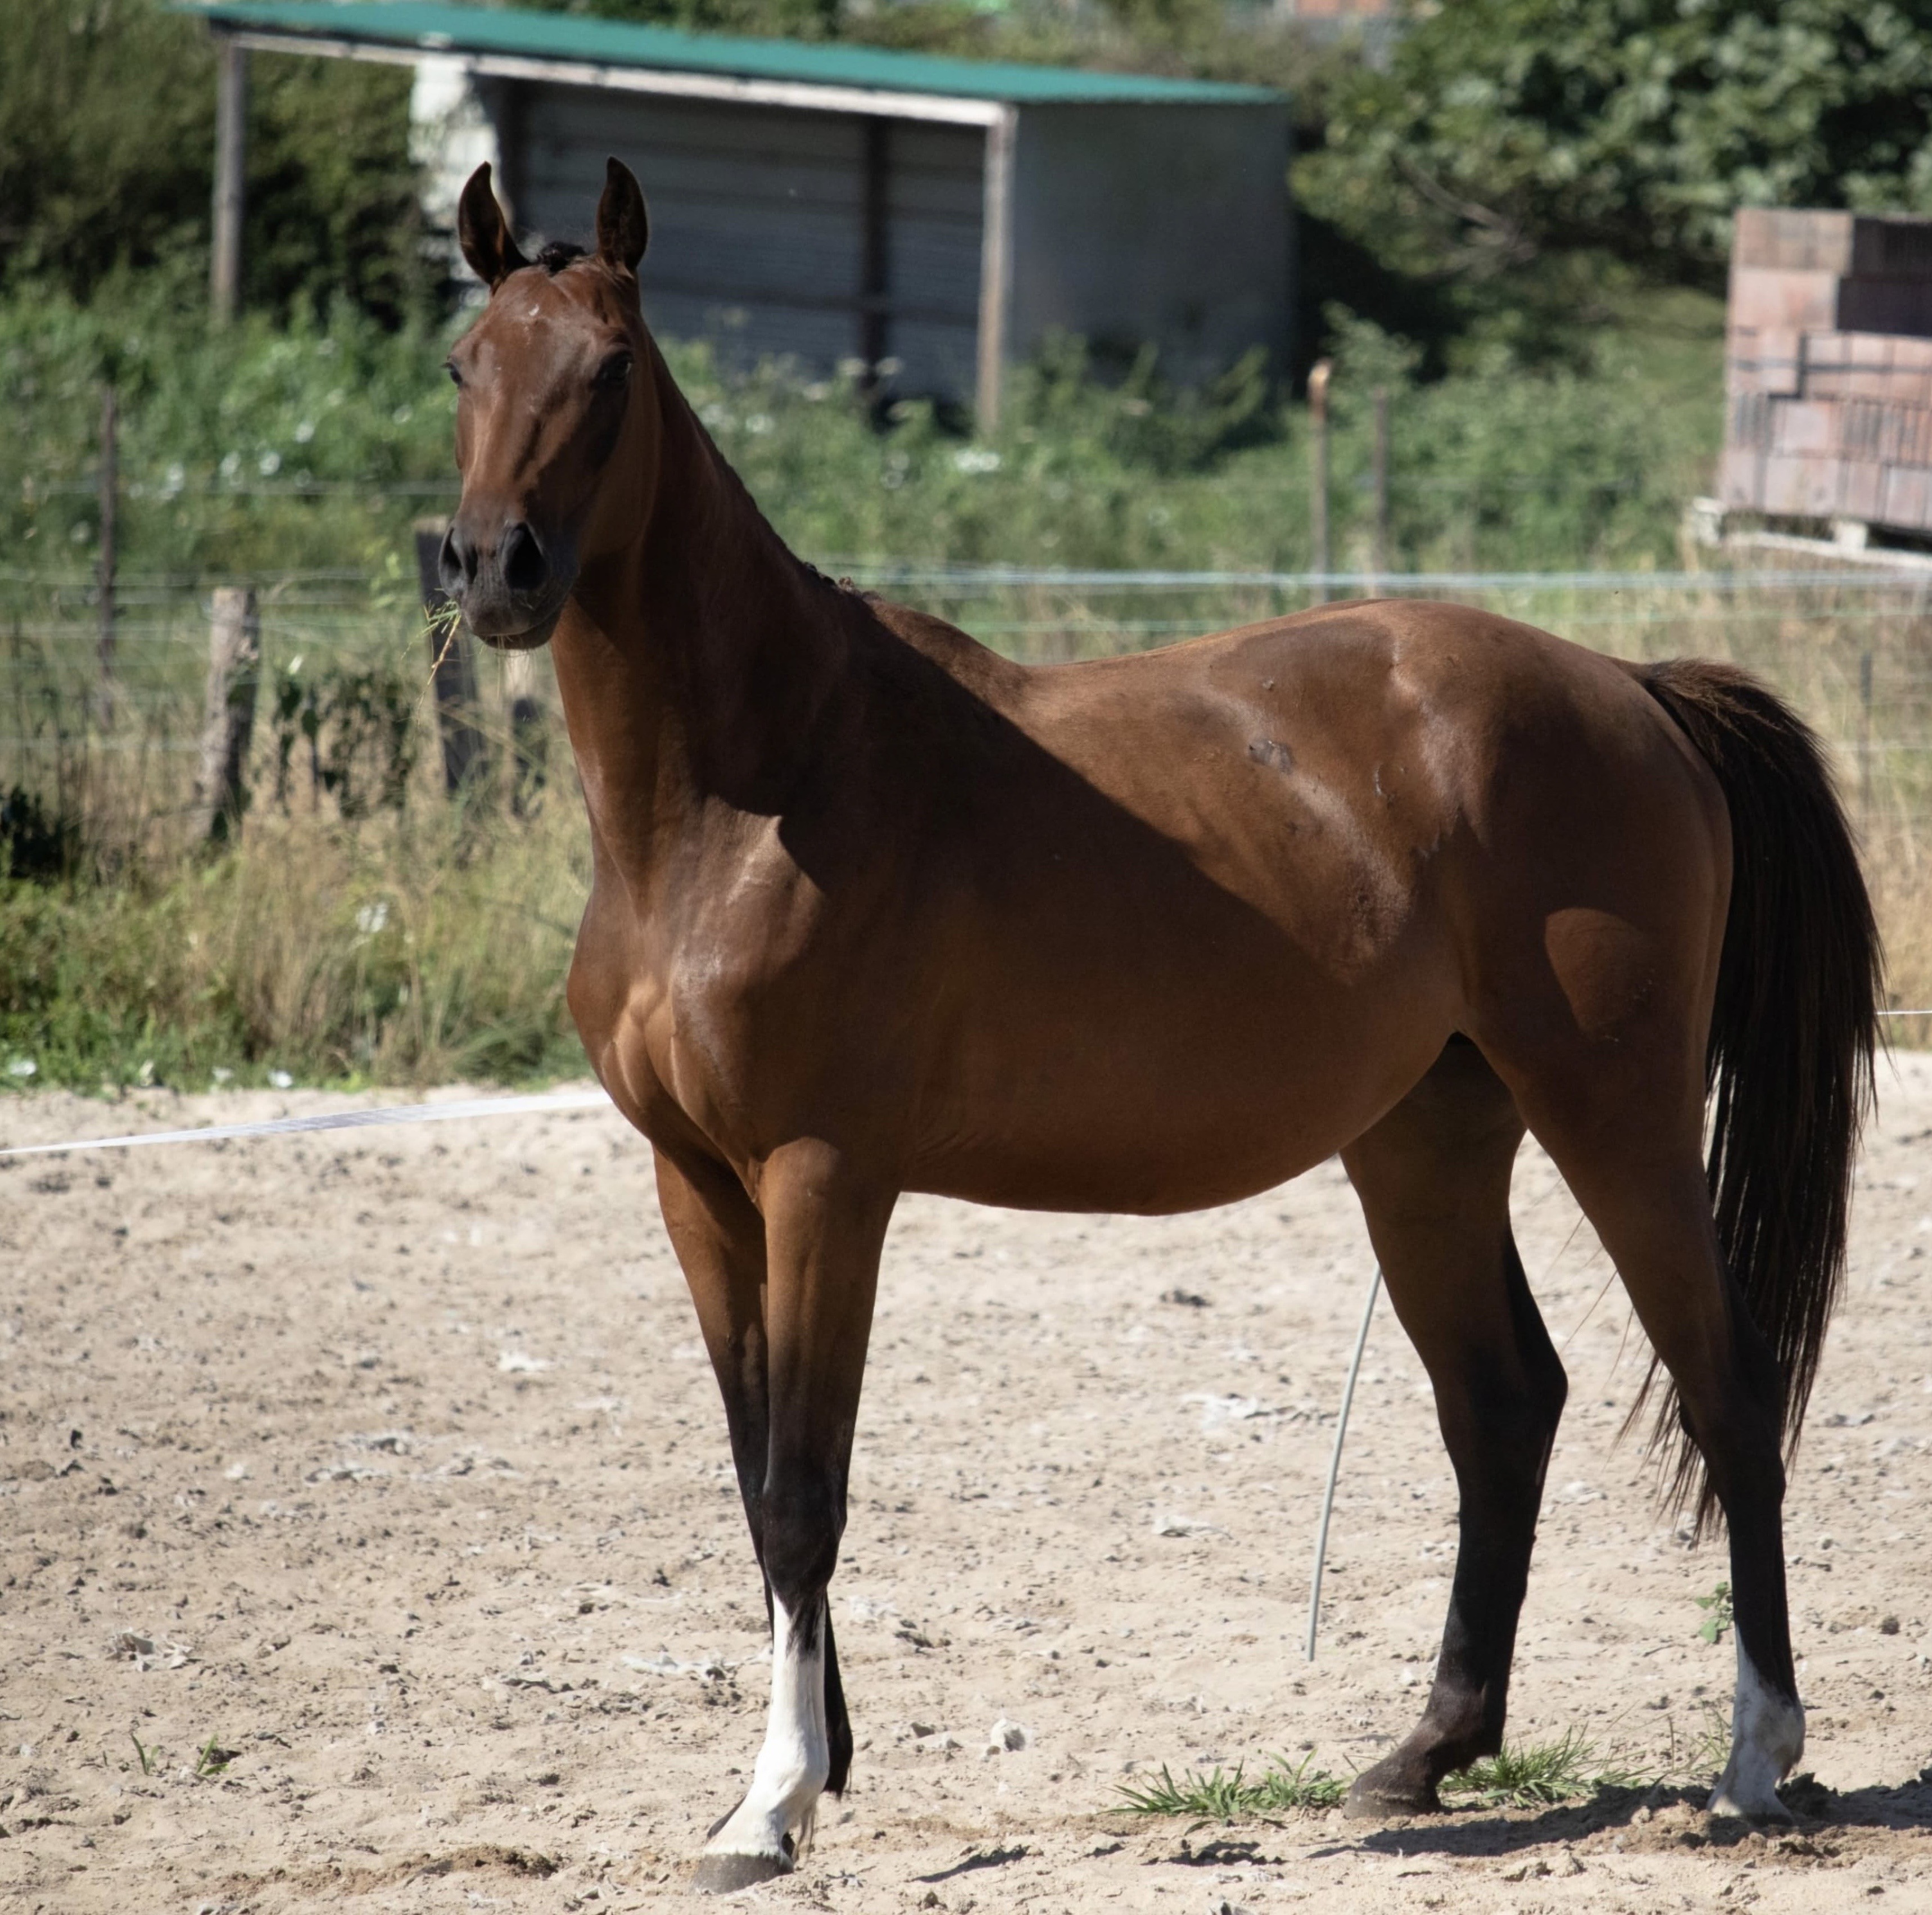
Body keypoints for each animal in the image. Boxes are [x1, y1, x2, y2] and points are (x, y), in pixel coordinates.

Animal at [438, 158, 1880, 1890]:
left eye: (610, 372)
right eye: (463, 364)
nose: (494, 569)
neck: (746, 792)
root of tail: (1629, 686)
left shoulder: (822, 1177)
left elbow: (802, 1489)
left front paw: (771, 1802)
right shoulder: (695, 1183)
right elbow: (754, 1472)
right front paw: (815, 1760)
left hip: (1618, 1115)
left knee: (1725, 1384)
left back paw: (1757, 1757)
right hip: (1427, 1140)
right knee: (1501, 1403)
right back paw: (1424, 1752)